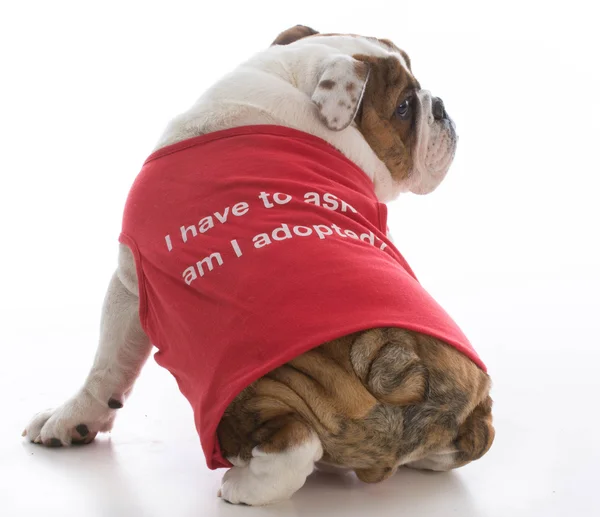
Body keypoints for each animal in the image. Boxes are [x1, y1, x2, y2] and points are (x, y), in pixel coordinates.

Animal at [23, 26, 494, 506]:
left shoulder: (128, 282)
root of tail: (403, 364)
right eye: (403, 106)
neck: (292, 95)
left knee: (294, 442)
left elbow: (105, 368)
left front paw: (72, 416)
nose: (440, 107)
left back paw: (244, 485)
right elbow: (109, 366)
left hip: (250, 392)